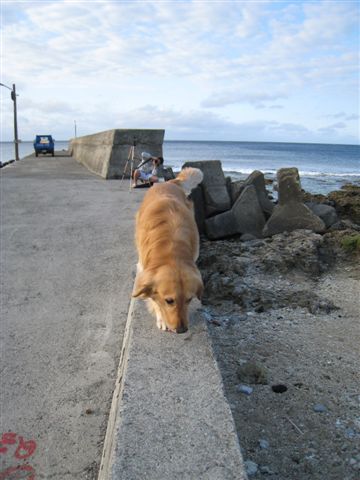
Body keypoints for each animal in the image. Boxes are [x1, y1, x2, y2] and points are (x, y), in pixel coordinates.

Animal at [134, 169, 204, 334]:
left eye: (189, 299)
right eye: (169, 301)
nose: (182, 330)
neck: (171, 249)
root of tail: (169, 182)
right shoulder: (143, 267)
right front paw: (161, 318)